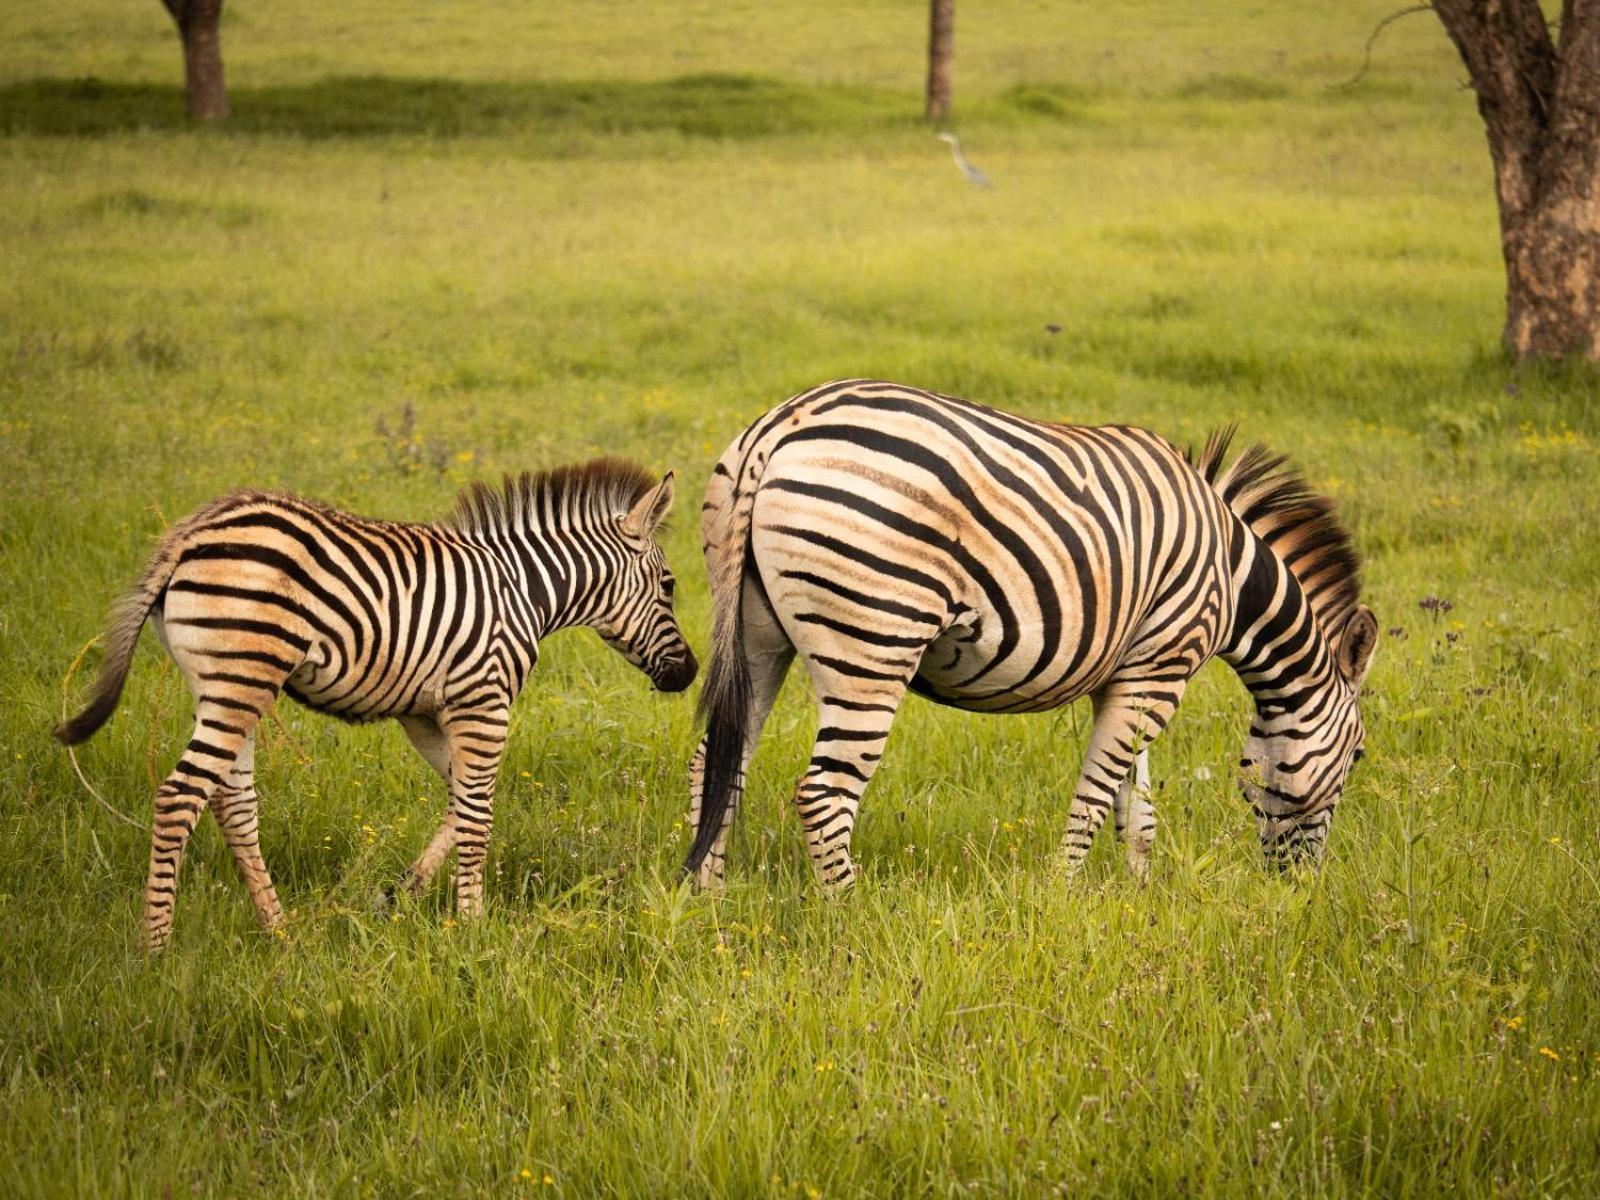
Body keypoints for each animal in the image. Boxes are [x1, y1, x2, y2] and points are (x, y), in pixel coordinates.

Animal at [58, 457, 694, 947]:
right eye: (669, 586)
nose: (688, 673)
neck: (524, 589)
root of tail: (187, 536)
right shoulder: (481, 700)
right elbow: (479, 812)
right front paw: (473, 925)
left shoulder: (425, 713)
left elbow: (462, 802)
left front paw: (404, 893)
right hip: (242, 677)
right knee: (179, 796)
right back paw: (156, 948)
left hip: (224, 688)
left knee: (232, 803)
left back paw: (279, 930)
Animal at [684, 382, 1376, 896]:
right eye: (1359, 757)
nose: (1300, 888)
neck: (1232, 582)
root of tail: (782, 424)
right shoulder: (1161, 669)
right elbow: (1097, 796)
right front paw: (1065, 897)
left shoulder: (1132, 675)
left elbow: (1136, 807)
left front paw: (1139, 896)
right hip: (874, 643)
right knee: (823, 796)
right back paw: (849, 916)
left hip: (755, 636)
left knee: (717, 762)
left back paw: (707, 897)